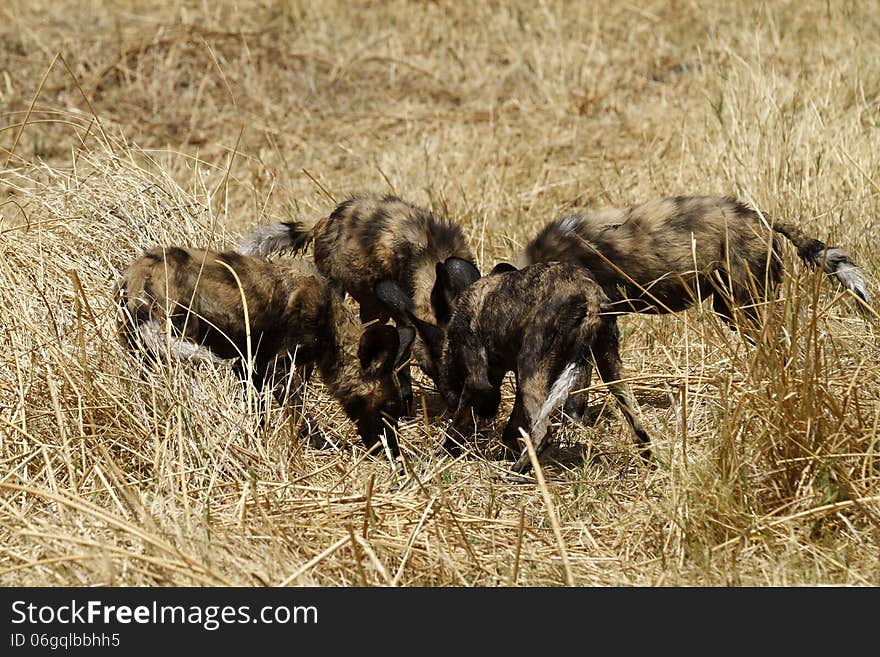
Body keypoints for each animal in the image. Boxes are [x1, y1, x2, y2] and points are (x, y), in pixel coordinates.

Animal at [117, 243, 416, 454]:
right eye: (389, 409)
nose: (393, 452)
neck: (331, 327)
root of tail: (140, 273)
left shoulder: (250, 367)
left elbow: (257, 413)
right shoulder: (279, 369)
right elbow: (301, 418)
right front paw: (321, 446)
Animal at [237, 192, 482, 402]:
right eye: (427, 370)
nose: (454, 401)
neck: (432, 256)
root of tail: (326, 220)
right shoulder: (400, 303)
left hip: (373, 307)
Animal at [380, 260, 652, 472]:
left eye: (429, 370)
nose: (448, 400)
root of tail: (590, 296)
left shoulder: (477, 378)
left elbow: (459, 424)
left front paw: (441, 454)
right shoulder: (515, 383)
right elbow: (511, 427)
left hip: (531, 365)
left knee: (544, 433)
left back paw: (515, 472)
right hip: (608, 370)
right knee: (639, 429)